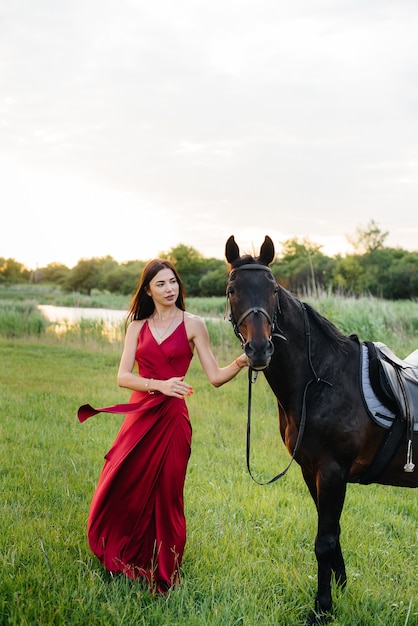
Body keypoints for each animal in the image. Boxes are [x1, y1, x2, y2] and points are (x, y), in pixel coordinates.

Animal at [227, 235, 416, 624]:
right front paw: (341, 589)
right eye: (232, 289)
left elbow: (324, 541)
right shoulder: (311, 469)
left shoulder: (332, 471)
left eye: (273, 290)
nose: (259, 349)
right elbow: (333, 534)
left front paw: (323, 608)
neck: (323, 380)